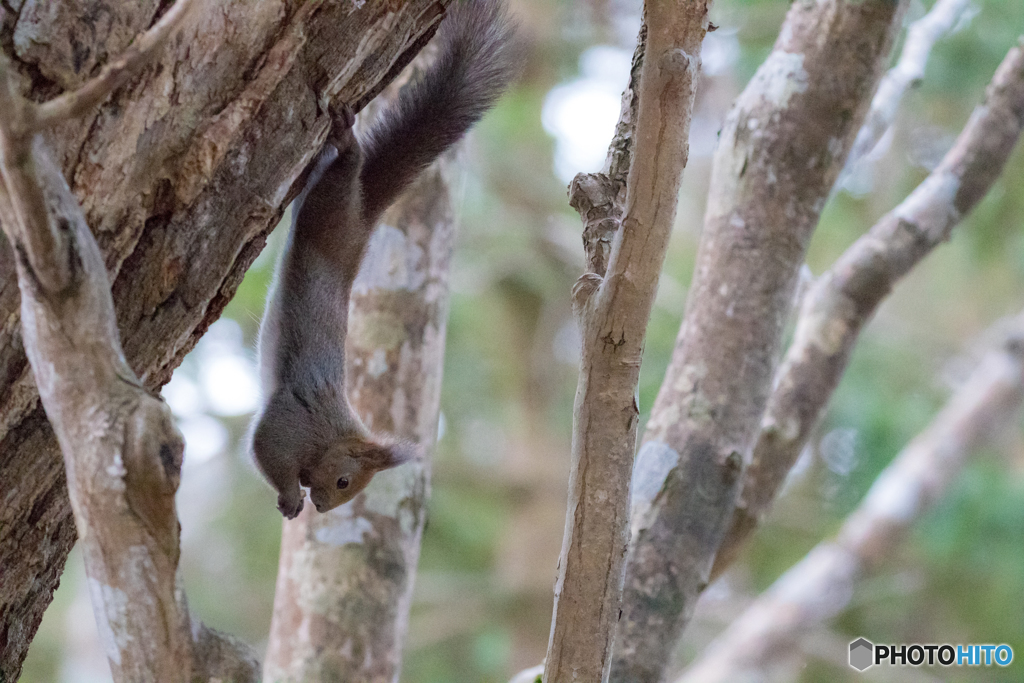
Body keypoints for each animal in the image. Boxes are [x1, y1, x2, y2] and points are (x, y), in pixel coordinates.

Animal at [248, 0, 520, 516]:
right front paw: (290, 496)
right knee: (344, 169)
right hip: (331, 208)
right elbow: (266, 445)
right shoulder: (294, 426)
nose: (323, 508)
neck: (332, 436)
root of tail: (364, 217)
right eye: (344, 481)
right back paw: (346, 143)